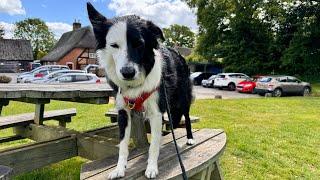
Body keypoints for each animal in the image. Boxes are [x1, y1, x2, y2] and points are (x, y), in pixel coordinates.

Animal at [86, 2, 194, 179]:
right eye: (114, 45)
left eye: (139, 44)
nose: (127, 72)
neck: (135, 85)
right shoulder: (123, 112)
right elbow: (123, 144)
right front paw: (119, 168)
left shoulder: (156, 113)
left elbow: (153, 145)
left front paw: (151, 167)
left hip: (183, 98)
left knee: (187, 117)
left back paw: (190, 138)